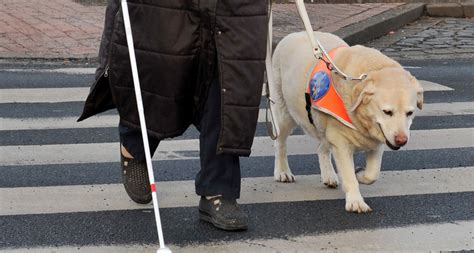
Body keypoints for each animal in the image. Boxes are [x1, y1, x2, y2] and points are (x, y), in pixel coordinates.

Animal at [268, 31, 424, 213]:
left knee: (321, 147)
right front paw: (355, 201)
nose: (401, 140)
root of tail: (293, 34)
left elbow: (372, 174)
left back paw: (329, 176)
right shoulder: (340, 143)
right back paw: (282, 172)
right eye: (387, 112)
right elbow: (349, 177)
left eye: (410, 113)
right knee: (280, 143)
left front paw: (361, 174)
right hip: (285, 113)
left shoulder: (377, 142)